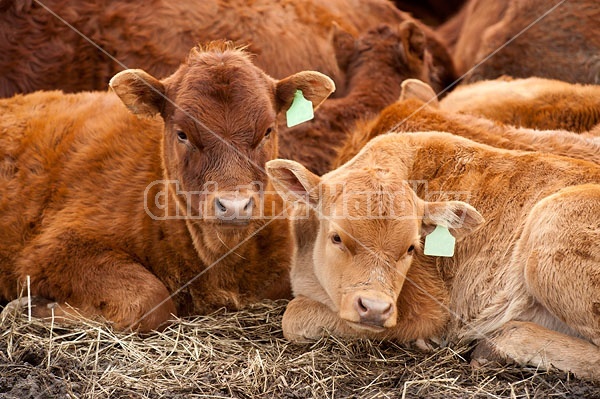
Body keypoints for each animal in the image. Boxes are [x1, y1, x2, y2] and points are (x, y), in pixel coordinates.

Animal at [0, 42, 336, 332]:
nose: (234, 206)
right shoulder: (54, 249)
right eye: (182, 134)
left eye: (267, 130)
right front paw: (30, 306)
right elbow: (149, 300)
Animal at [268, 132, 600, 382]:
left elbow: (294, 316)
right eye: (337, 237)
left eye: (411, 248)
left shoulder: (428, 312)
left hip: (549, 228)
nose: (375, 309)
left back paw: (497, 346)